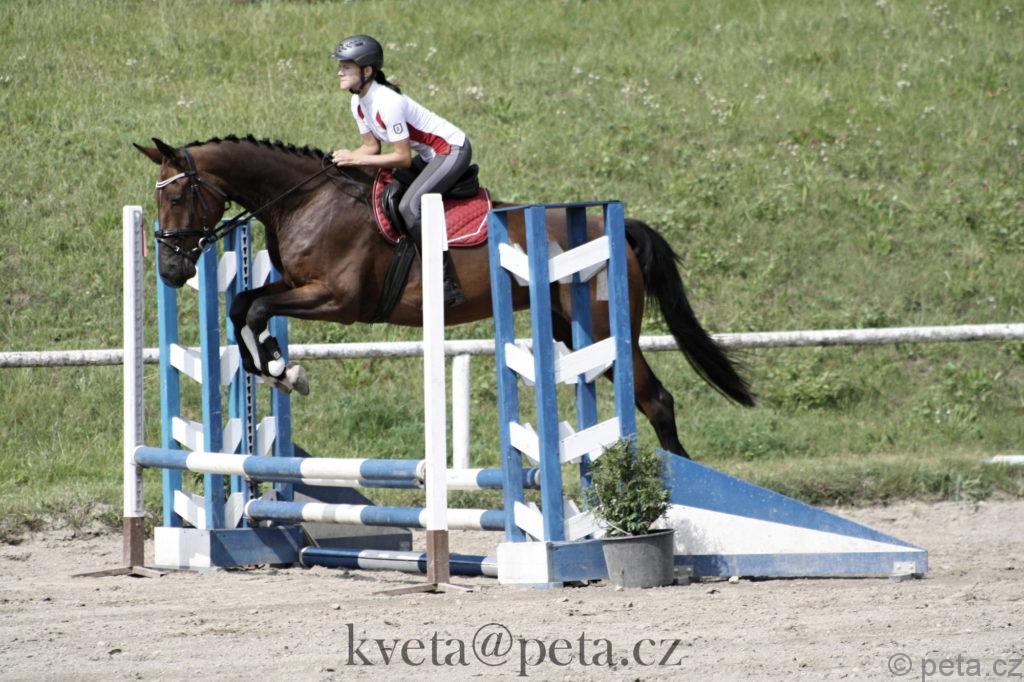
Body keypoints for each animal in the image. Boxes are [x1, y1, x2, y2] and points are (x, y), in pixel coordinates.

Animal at [135, 135, 755, 458]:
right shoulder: (297, 285)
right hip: (572, 332)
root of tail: (617, 229)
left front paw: (287, 372)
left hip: (605, 329)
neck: (304, 199)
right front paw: (274, 368)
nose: (169, 269)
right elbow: (243, 307)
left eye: (179, 197)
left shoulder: (339, 301)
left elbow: (257, 307)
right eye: (158, 201)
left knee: (657, 400)